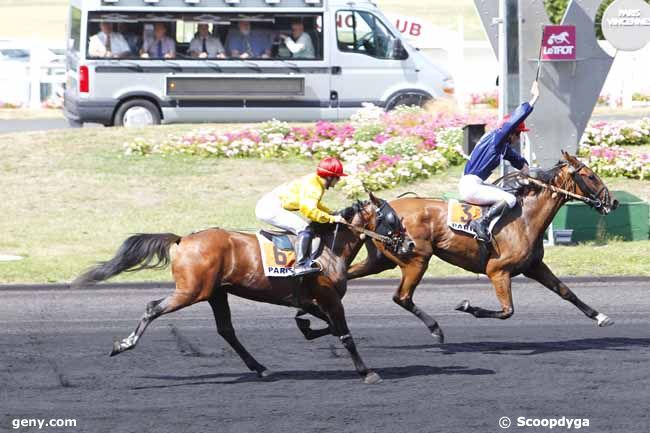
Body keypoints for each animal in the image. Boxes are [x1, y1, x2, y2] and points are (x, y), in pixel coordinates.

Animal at [73, 197, 408, 384]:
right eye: (393, 218)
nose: (408, 244)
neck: (328, 249)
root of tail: (183, 239)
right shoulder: (330, 298)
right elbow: (344, 333)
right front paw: (367, 372)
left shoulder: (314, 299)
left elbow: (320, 324)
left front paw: (306, 326)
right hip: (192, 291)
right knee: (153, 307)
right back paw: (123, 344)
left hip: (215, 293)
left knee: (226, 330)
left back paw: (260, 368)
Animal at [344, 151, 616, 340]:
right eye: (590, 176)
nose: (612, 201)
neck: (525, 219)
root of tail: (379, 207)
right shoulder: (498, 270)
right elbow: (507, 311)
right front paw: (467, 306)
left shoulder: (534, 266)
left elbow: (566, 292)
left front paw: (601, 316)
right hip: (416, 259)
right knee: (401, 296)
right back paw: (436, 329)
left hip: (381, 260)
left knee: (345, 276)